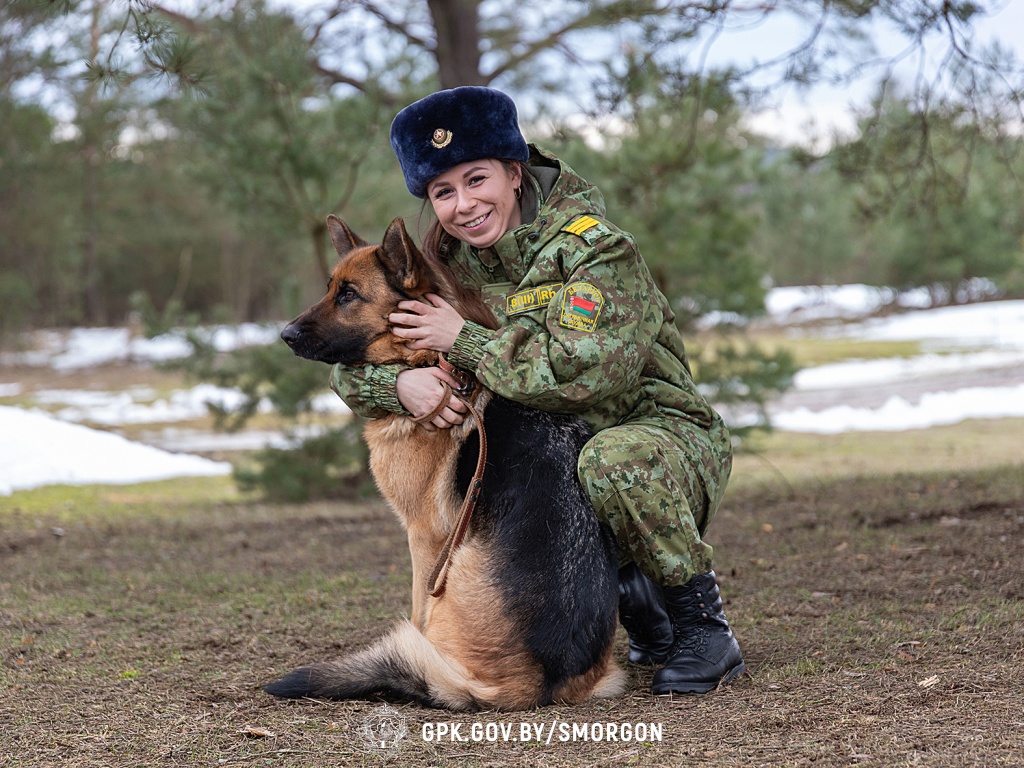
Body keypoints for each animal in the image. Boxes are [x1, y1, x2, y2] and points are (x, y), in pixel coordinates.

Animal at [266, 215, 622, 708]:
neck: (428, 362)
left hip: (450, 574)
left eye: (349, 295)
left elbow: (414, 610)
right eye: (330, 288)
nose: (285, 335)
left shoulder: (423, 537)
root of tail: (539, 680)